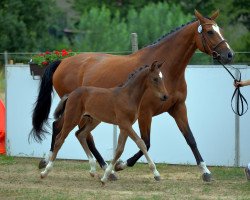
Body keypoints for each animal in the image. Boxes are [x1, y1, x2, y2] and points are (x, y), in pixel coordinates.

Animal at [40, 61, 168, 184]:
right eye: (155, 79)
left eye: (162, 77)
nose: (165, 96)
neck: (128, 96)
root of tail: (71, 94)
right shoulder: (125, 124)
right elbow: (141, 143)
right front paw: (156, 173)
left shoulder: (125, 126)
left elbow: (119, 150)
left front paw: (106, 175)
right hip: (72, 118)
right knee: (60, 139)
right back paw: (45, 171)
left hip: (93, 120)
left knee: (80, 134)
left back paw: (92, 170)